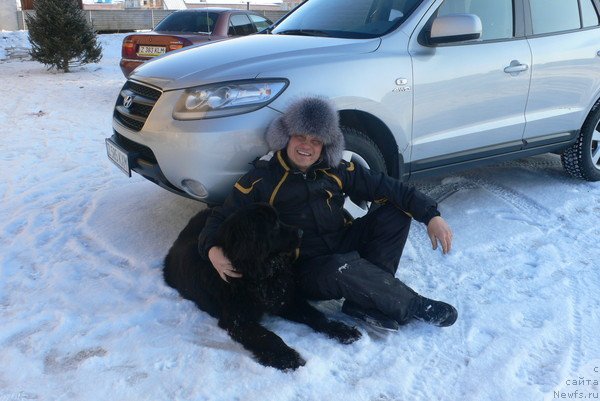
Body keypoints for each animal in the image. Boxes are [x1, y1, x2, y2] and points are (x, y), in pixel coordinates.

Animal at [163, 203, 360, 368]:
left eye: (279, 218)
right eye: (273, 225)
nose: (302, 232)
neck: (256, 274)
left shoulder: (284, 299)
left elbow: (315, 315)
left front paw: (341, 329)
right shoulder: (238, 319)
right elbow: (268, 336)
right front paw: (287, 357)